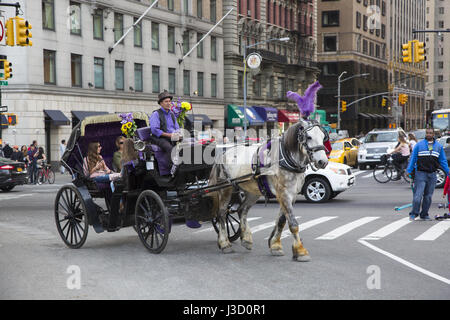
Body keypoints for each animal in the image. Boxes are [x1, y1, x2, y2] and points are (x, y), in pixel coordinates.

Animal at [209, 119, 328, 262]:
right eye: (309, 137)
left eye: (323, 136)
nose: (323, 161)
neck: (286, 159)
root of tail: (224, 153)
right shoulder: (283, 194)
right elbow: (293, 223)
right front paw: (300, 251)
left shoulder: (291, 195)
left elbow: (282, 221)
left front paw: (275, 246)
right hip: (226, 188)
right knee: (222, 213)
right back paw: (224, 243)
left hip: (252, 191)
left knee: (242, 209)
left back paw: (246, 239)